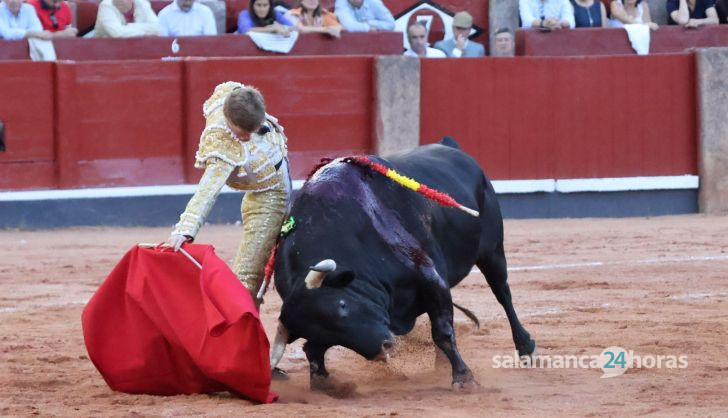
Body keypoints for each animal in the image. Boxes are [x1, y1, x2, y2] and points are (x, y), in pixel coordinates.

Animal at [270, 139, 536, 394]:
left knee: (503, 294)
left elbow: (442, 332)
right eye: (326, 330)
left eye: (343, 305)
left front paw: (464, 379)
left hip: (492, 251)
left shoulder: (430, 277)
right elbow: (312, 349)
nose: (384, 347)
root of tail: (453, 148)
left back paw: (526, 348)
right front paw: (324, 383)